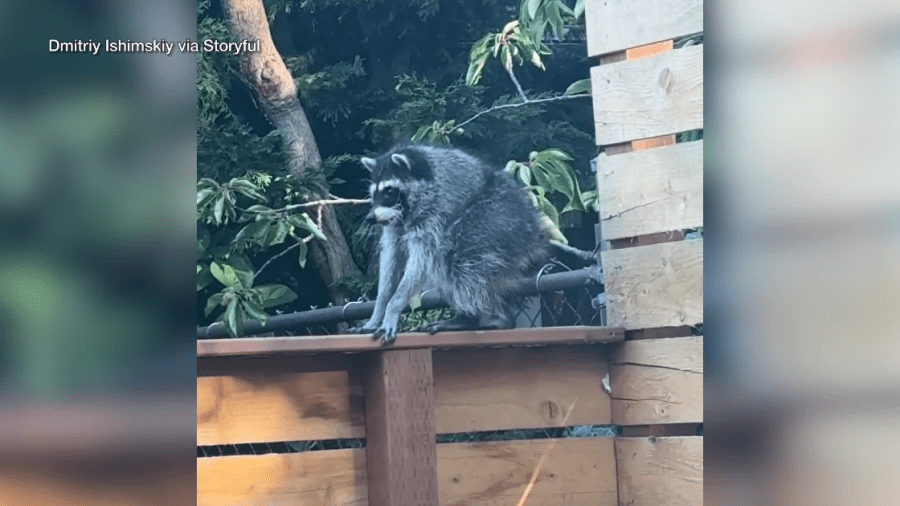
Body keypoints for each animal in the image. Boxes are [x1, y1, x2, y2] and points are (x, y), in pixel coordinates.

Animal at [348, 143, 550, 343]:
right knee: (446, 265)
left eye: (389, 191)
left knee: (465, 263)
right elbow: (391, 260)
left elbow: (420, 262)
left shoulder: (435, 214)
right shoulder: (394, 224)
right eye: (373, 194)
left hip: (497, 219)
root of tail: (534, 227)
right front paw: (378, 310)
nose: (370, 218)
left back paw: (472, 319)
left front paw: (393, 306)